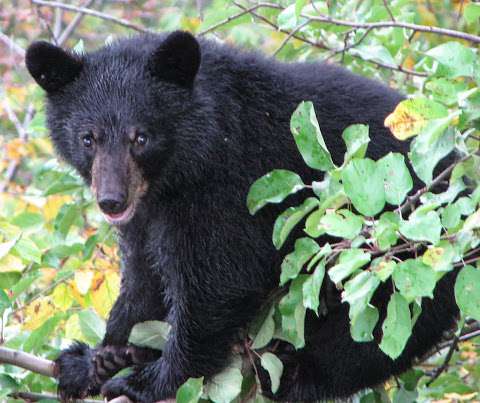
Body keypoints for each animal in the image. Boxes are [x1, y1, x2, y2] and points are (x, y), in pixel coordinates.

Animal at [25, 32, 458, 403]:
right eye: (88, 138)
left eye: (141, 137)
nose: (111, 201)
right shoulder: (146, 213)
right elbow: (143, 276)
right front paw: (97, 360)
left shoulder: (233, 186)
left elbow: (218, 280)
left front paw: (149, 379)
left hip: (407, 253)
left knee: (368, 336)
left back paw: (293, 373)